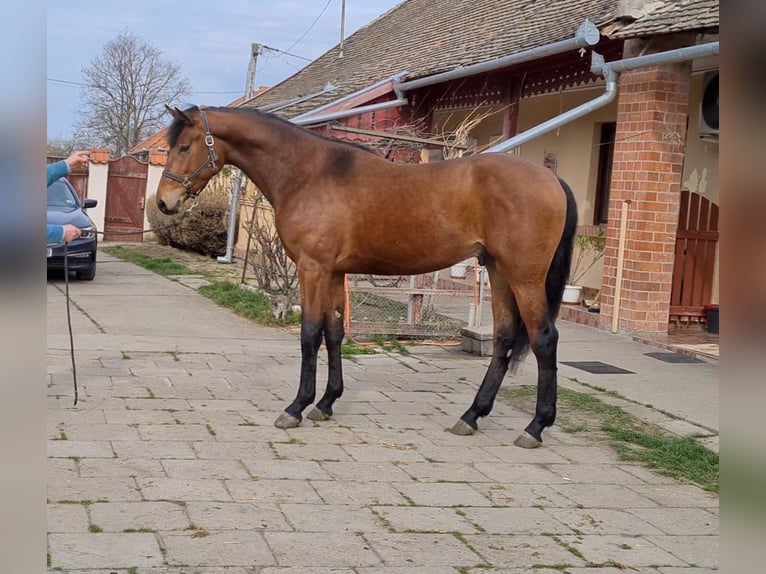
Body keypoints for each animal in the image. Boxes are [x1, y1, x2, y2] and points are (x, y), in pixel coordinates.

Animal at [158, 107, 576, 450]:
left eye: (184, 146)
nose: (164, 202)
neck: (309, 173)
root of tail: (552, 179)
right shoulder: (333, 272)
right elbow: (333, 332)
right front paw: (326, 403)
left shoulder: (313, 268)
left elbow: (309, 334)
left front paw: (296, 407)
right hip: (498, 271)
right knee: (504, 337)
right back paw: (471, 416)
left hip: (524, 277)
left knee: (544, 339)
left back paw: (535, 427)